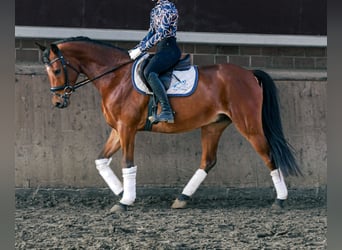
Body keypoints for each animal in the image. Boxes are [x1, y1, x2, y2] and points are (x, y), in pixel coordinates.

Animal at [36, 36, 300, 213]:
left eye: (57, 70)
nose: (58, 102)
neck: (115, 78)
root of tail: (248, 74)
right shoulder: (117, 130)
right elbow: (101, 160)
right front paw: (122, 192)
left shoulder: (127, 129)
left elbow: (127, 164)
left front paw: (125, 201)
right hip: (213, 125)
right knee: (208, 161)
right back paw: (182, 198)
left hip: (248, 125)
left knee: (268, 155)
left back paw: (280, 200)